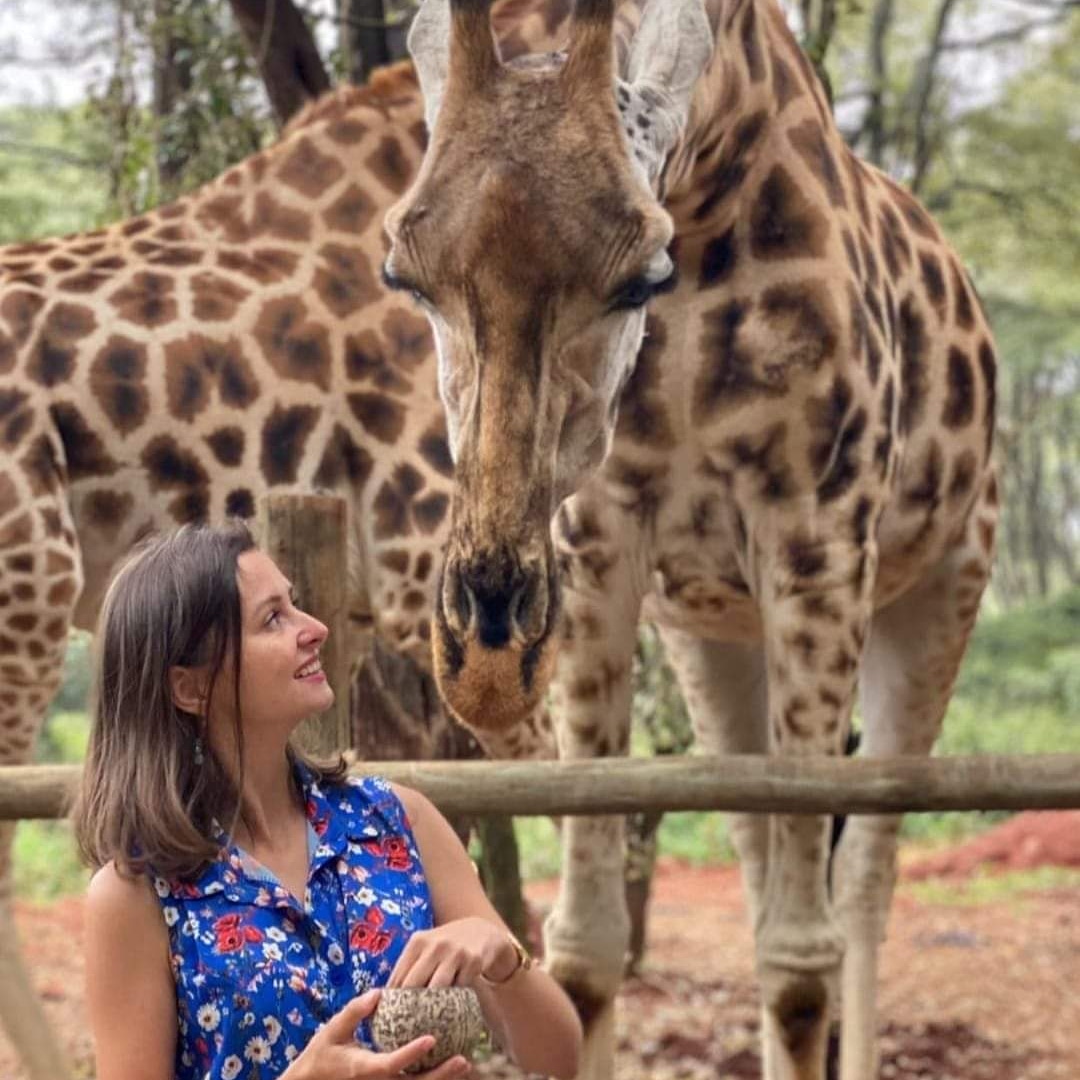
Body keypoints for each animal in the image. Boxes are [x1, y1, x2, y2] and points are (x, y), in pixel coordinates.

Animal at [393, 2, 997, 1080]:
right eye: (404, 277)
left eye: (641, 276)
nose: (486, 671)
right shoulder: (597, 547)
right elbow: (587, 944)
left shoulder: (817, 538)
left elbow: (799, 962)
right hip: (711, 638)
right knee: (758, 847)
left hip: (944, 585)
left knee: (865, 875)